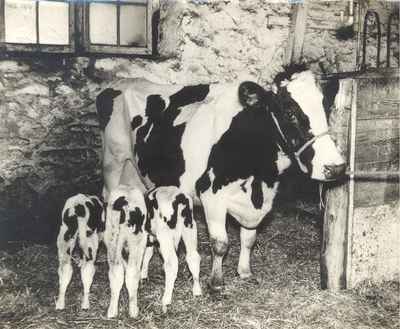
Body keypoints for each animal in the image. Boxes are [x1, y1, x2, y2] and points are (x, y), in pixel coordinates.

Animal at [95, 63, 346, 290]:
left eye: (326, 109)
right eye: (289, 112)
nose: (335, 167)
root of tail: (120, 83)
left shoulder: (259, 200)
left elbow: (248, 239)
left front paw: (244, 272)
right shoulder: (211, 194)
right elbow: (220, 243)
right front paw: (216, 282)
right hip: (113, 163)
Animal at [104, 183, 148, 316]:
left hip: (111, 238)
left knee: (115, 273)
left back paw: (112, 311)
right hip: (137, 241)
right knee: (132, 273)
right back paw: (133, 310)